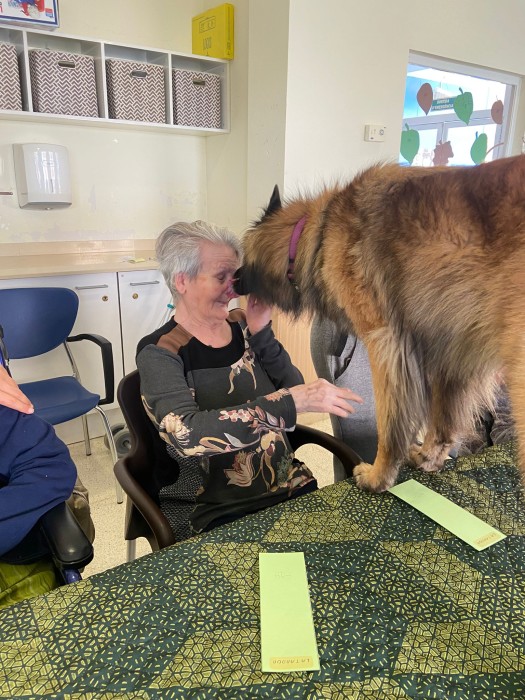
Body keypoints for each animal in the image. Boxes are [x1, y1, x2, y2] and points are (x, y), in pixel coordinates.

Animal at [234, 155, 525, 492]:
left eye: (242, 257)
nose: (233, 280)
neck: (318, 233)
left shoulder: (385, 342)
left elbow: (390, 424)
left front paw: (379, 475)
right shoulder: (450, 350)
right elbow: (442, 421)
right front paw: (428, 458)